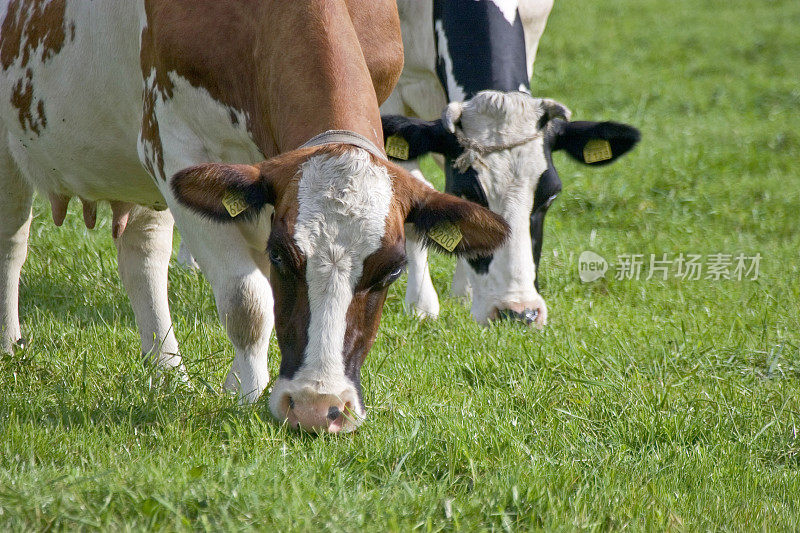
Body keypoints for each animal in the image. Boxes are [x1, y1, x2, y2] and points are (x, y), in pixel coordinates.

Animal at [1, 1, 506, 432]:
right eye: (283, 256)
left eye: (391, 272)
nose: (317, 408)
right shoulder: (177, 151)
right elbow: (249, 300)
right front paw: (250, 395)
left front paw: (237, 383)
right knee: (12, 245)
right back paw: (8, 344)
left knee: (142, 258)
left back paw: (167, 374)